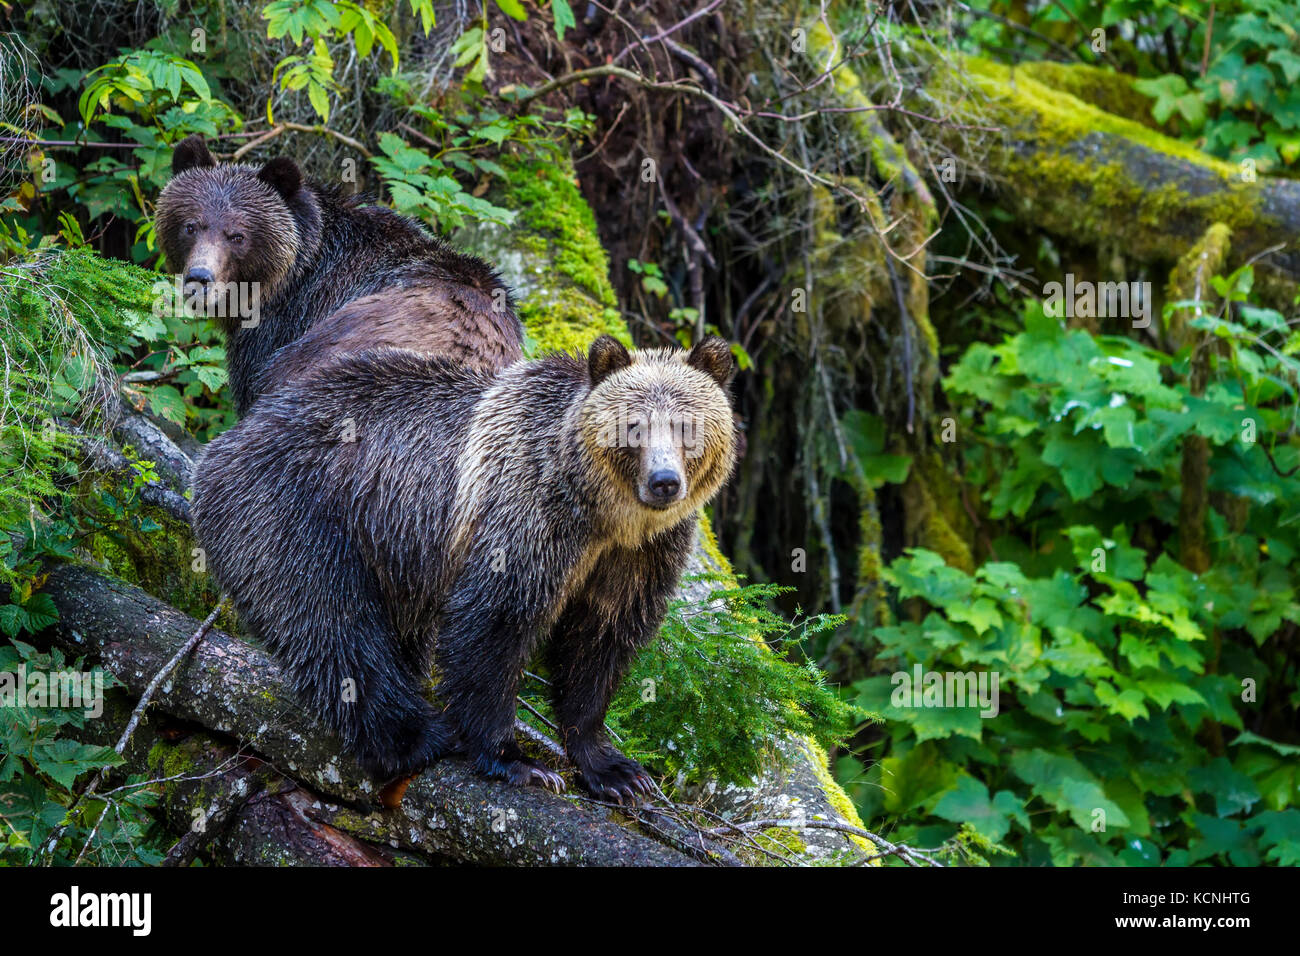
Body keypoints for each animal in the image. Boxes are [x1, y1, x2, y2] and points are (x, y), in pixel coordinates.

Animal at [192, 335, 743, 801]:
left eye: (687, 426)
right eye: (633, 426)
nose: (665, 481)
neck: (603, 514)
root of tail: (229, 439)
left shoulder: (637, 555)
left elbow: (601, 641)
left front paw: (615, 770)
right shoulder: (525, 513)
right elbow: (493, 626)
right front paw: (517, 760)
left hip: (393, 554)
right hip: (299, 511)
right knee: (331, 620)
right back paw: (414, 737)